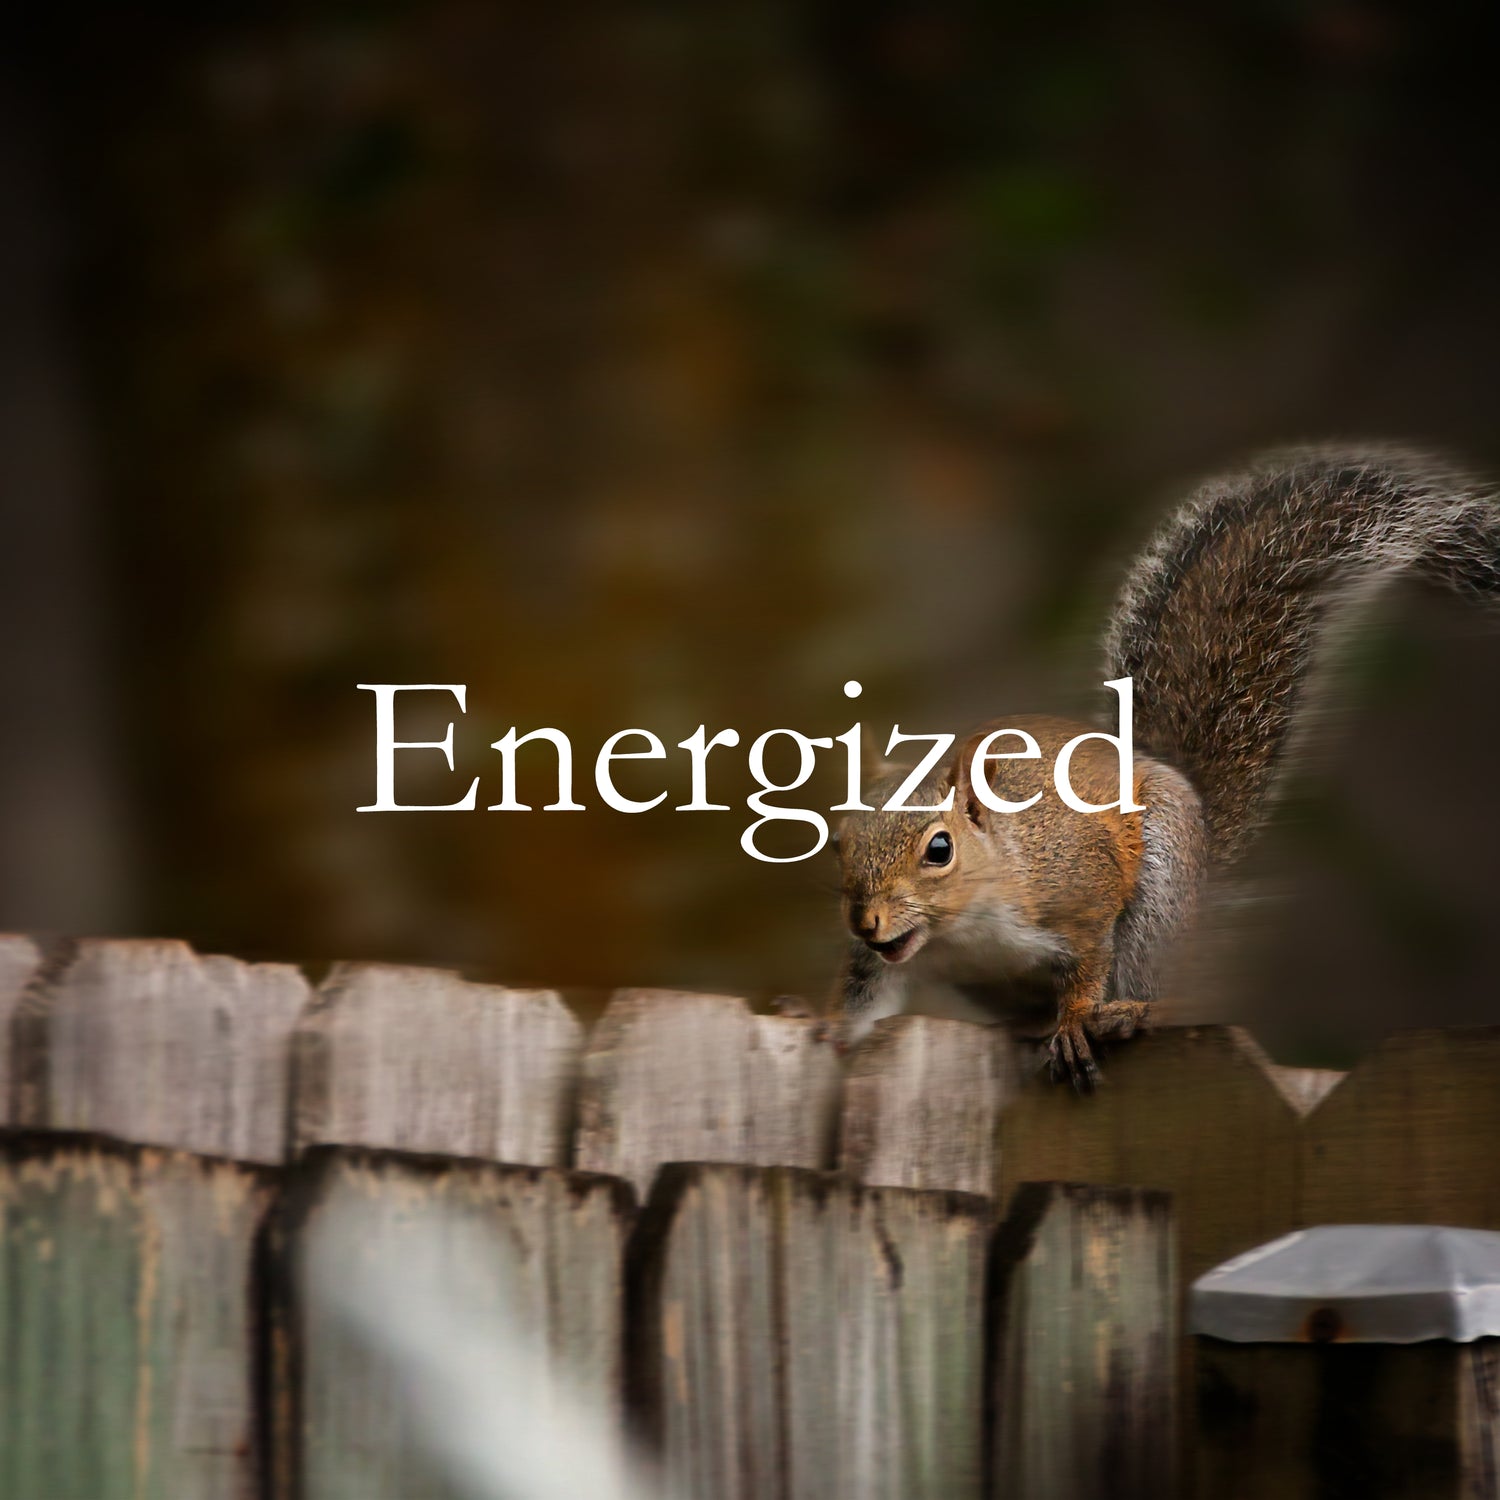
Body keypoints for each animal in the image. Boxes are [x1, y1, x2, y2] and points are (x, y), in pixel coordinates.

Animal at [828, 444, 1500, 1092]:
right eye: (838, 843)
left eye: (939, 850)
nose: (867, 922)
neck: (960, 926)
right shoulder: (884, 963)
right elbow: (864, 995)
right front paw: (833, 1031)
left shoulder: (1080, 899)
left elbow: (1088, 964)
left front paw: (1074, 1023)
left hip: (1159, 896)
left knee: (1155, 988)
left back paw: (1123, 1014)